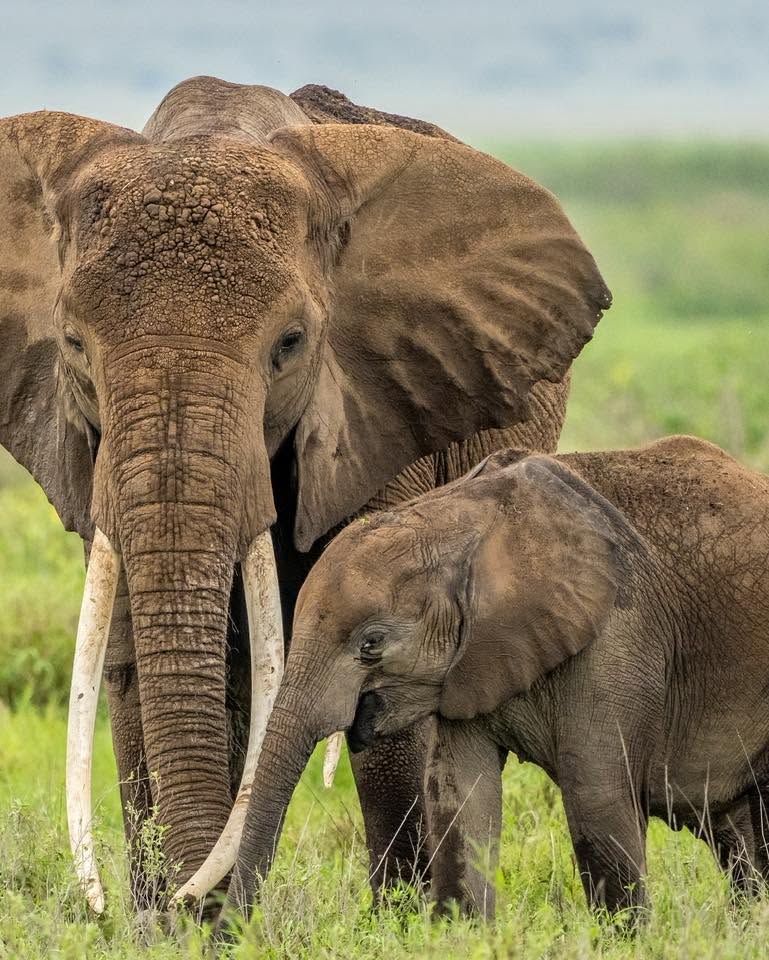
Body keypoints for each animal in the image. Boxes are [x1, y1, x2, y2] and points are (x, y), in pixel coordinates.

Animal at [0, 75, 610, 911]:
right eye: (73, 346)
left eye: (289, 345)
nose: (201, 908)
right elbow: (129, 672)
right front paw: (167, 923)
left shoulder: (379, 397)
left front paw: (398, 923)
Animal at [231, 435, 769, 921]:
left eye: (371, 643)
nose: (227, 932)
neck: (457, 520)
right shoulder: (467, 666)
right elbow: (461, 802)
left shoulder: (618, 634)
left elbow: (596, 798)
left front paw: (628, 939)